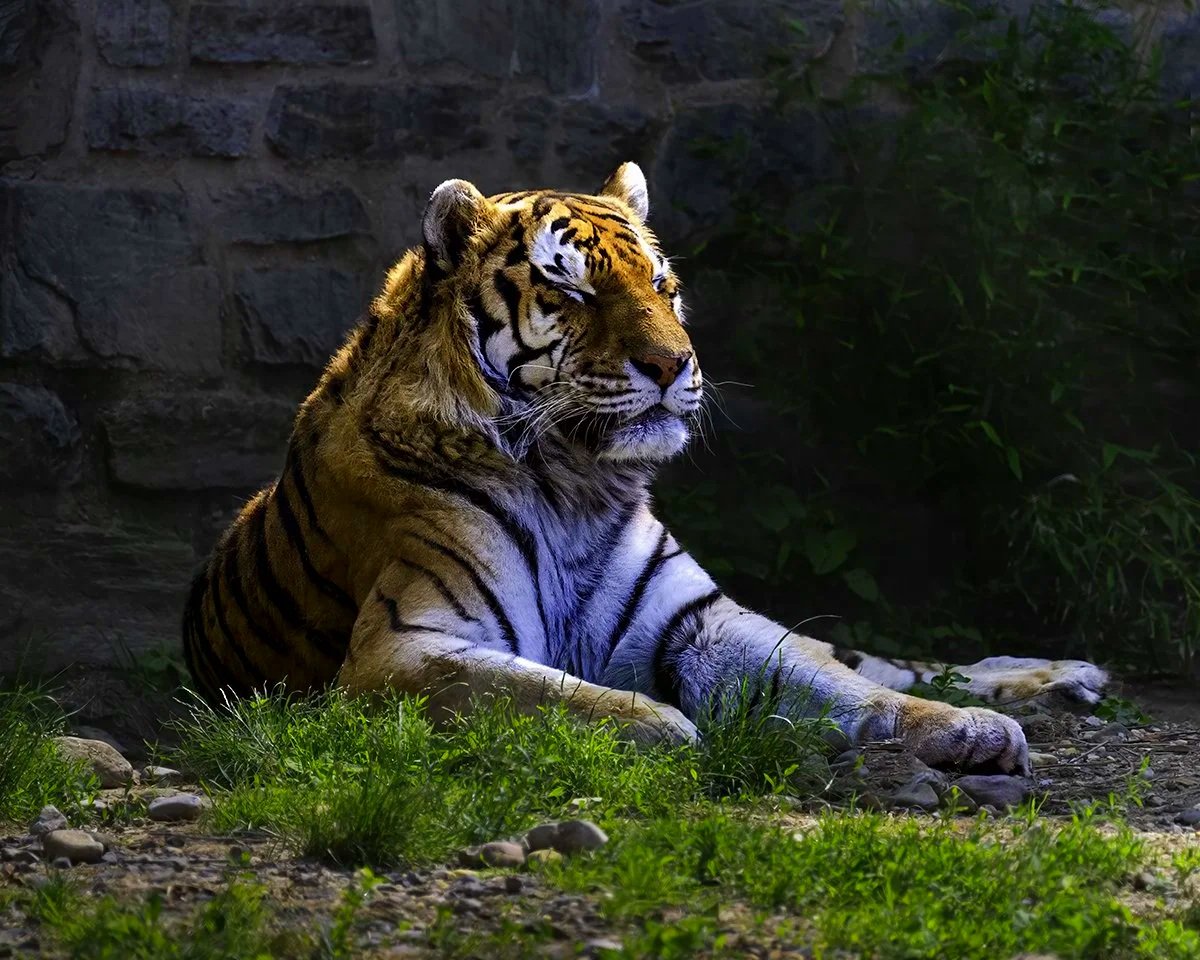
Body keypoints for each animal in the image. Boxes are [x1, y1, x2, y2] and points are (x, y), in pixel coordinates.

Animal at [181, 162, 1108, 772]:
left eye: (663, 286)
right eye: (572, 292)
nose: (673, 364)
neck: (579, 484)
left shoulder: (704, 623)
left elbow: (842, 683)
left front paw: (965, 729)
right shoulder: (405, 646)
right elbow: (561, 694)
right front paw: (667, 731)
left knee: (869, 657)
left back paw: (1064, 679)